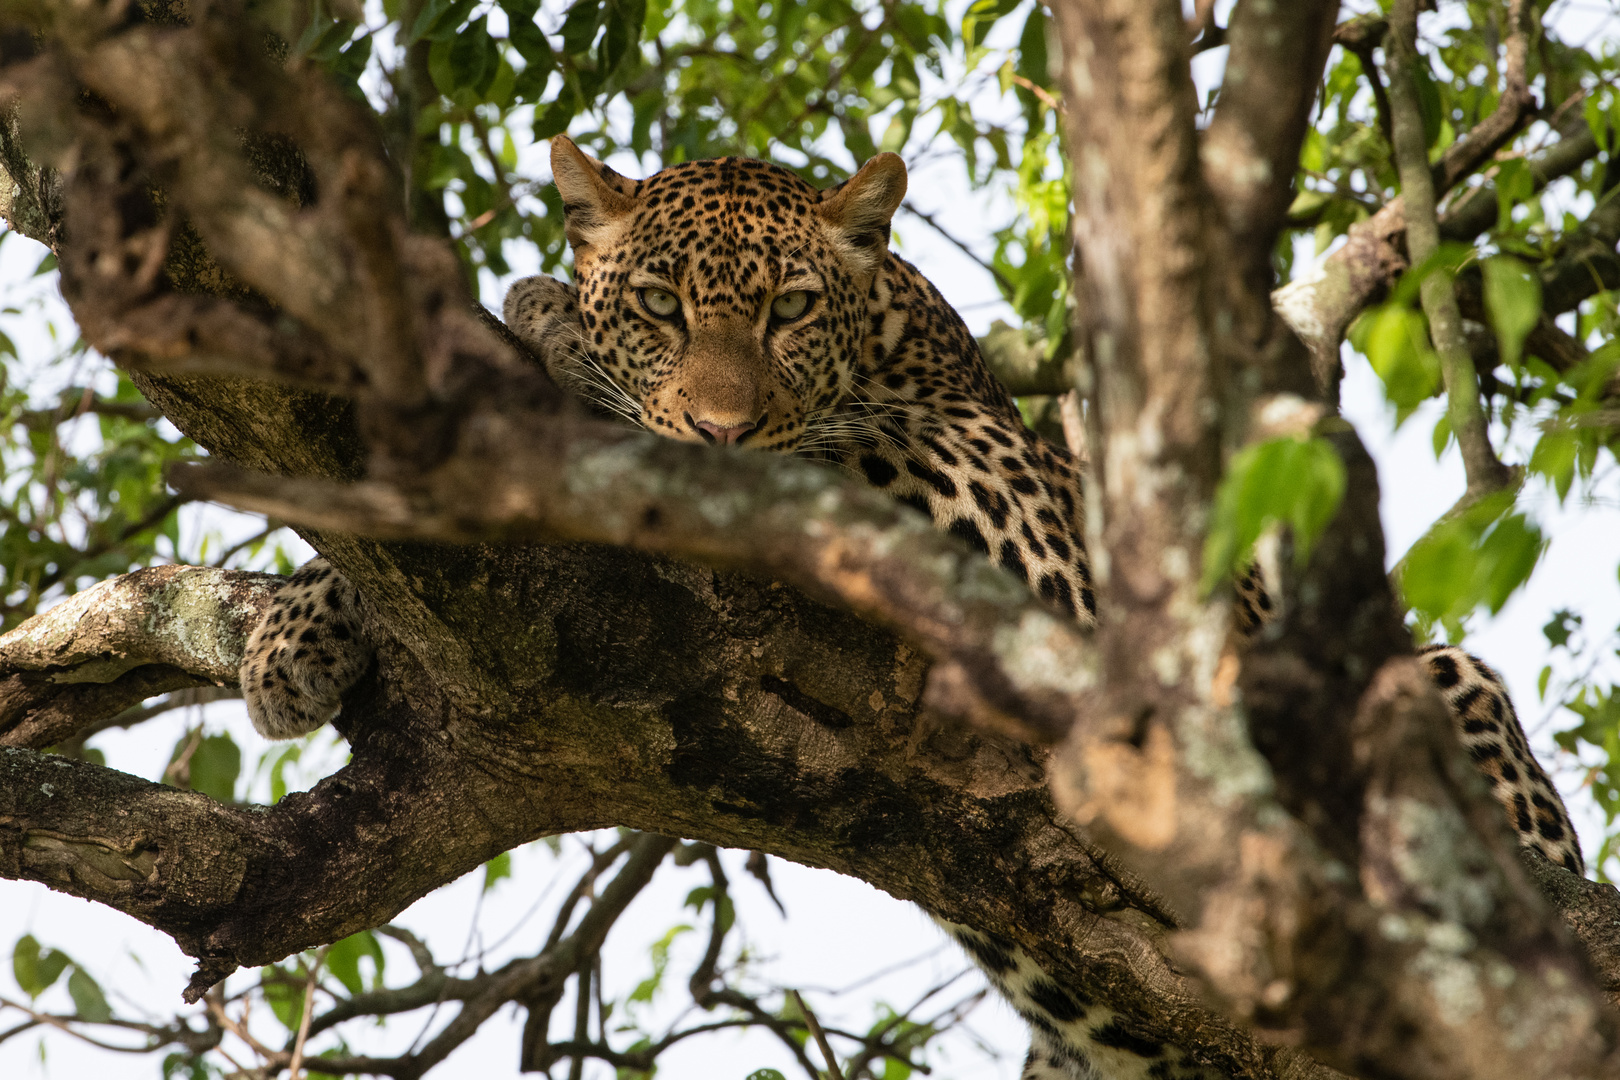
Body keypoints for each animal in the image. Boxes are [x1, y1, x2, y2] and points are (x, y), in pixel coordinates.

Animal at [239, 137, 1581, 1080]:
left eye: (786, 311)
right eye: (664, 307)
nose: (718, 424)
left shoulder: (1029, 533)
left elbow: (830, 450)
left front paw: (549, 326)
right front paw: (294, 629)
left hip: (1443, 691)